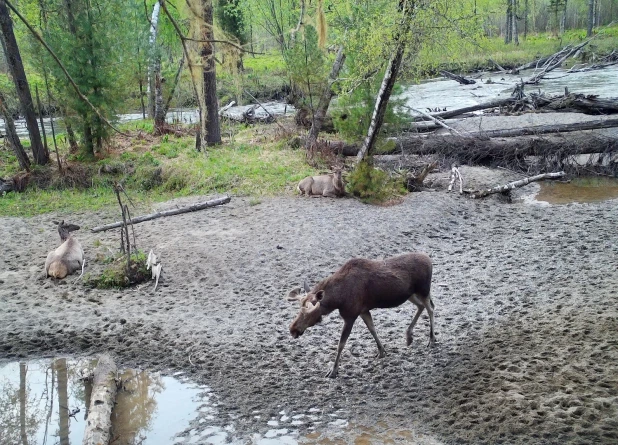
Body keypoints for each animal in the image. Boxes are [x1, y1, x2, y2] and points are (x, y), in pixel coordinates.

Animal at [286, 251, 434, 376]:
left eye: (308, 313)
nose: (293, 329)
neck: (338, 299)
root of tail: (429, 259)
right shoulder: (363, 311)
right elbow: (372, 329)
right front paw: (382, 351)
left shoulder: (350, 315)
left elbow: (341, 344)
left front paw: (333, 370)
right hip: (411, 294)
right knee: (421, 306)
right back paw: (409, 336)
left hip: (423, 290)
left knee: (430, 308)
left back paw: (431, 339)